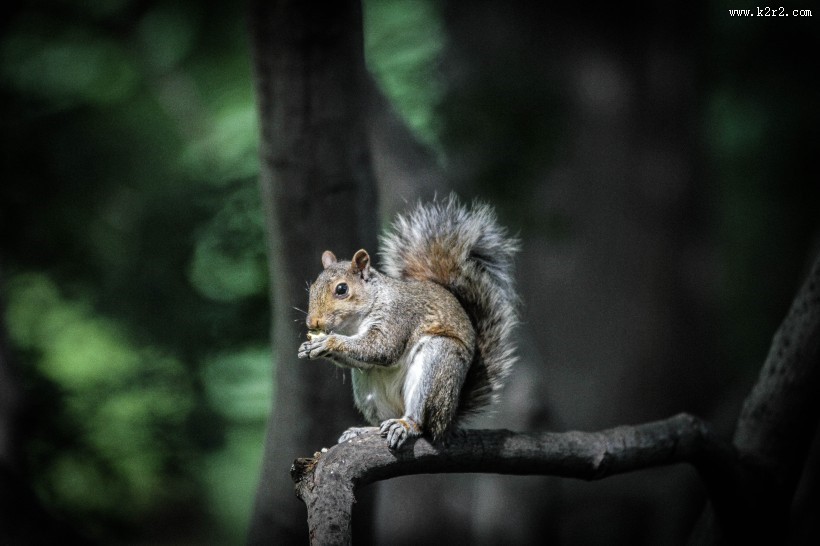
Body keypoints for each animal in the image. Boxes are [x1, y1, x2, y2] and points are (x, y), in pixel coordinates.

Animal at [298, 193, 520, 448]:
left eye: (342, 289)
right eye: (312, 287)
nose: (312, 323)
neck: (355, 323)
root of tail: (449, 421)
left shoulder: (398, 316)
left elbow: (382, 348)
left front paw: (328, 342)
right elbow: (365, 359)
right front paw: (308, 347)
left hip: (437, 366)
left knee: (422, 423)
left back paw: (406, 424)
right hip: (367, 389)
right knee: (380, 418)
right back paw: (365, 431)